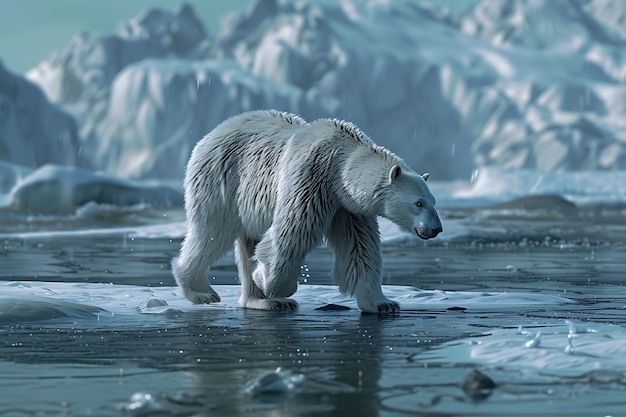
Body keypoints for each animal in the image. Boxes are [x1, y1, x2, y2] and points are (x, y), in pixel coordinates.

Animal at [173, 110, 442, 312]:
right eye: (418, 203)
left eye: (433, 201)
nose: (436, 229)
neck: (340, 158)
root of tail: (211, 134)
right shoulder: (312, 176)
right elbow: (291, 234)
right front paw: (269, 280)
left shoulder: (348, 206)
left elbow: (360, 248)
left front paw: (383, 303)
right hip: (222, 181)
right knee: (211, 233)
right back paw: (202, 292)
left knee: (244, 239)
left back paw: (262, 302)